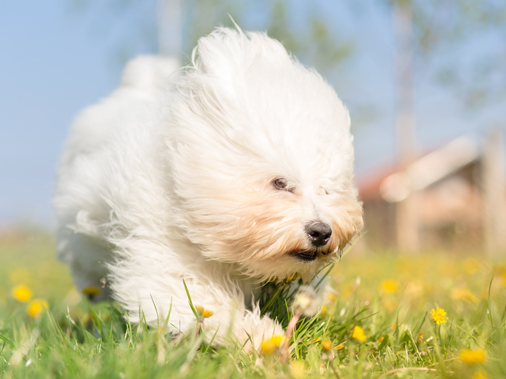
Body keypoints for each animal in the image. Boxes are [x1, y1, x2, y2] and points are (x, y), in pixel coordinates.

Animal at [54, 28, 364, 348]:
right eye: (280, 183)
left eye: (328, 188)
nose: (322, 231)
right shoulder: (162, 258)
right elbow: (203, 302)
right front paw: (261, 336)